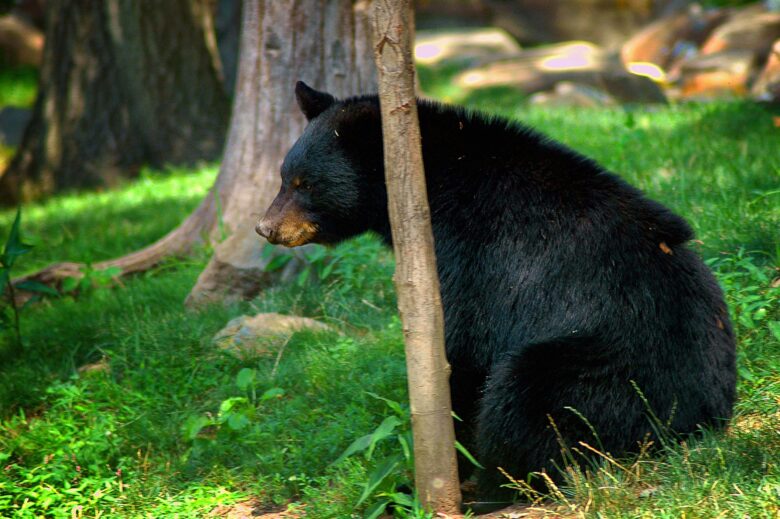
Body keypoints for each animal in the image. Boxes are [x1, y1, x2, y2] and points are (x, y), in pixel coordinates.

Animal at [256, 81, 737, 501]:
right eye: (283, 176)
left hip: (607, 377)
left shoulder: (470, 256)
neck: (425, 187)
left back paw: (487, 492)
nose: (266, 227)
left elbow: (462, 351)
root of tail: (695, 425)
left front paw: (443, 466)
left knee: (524, 404)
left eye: (305, 183)